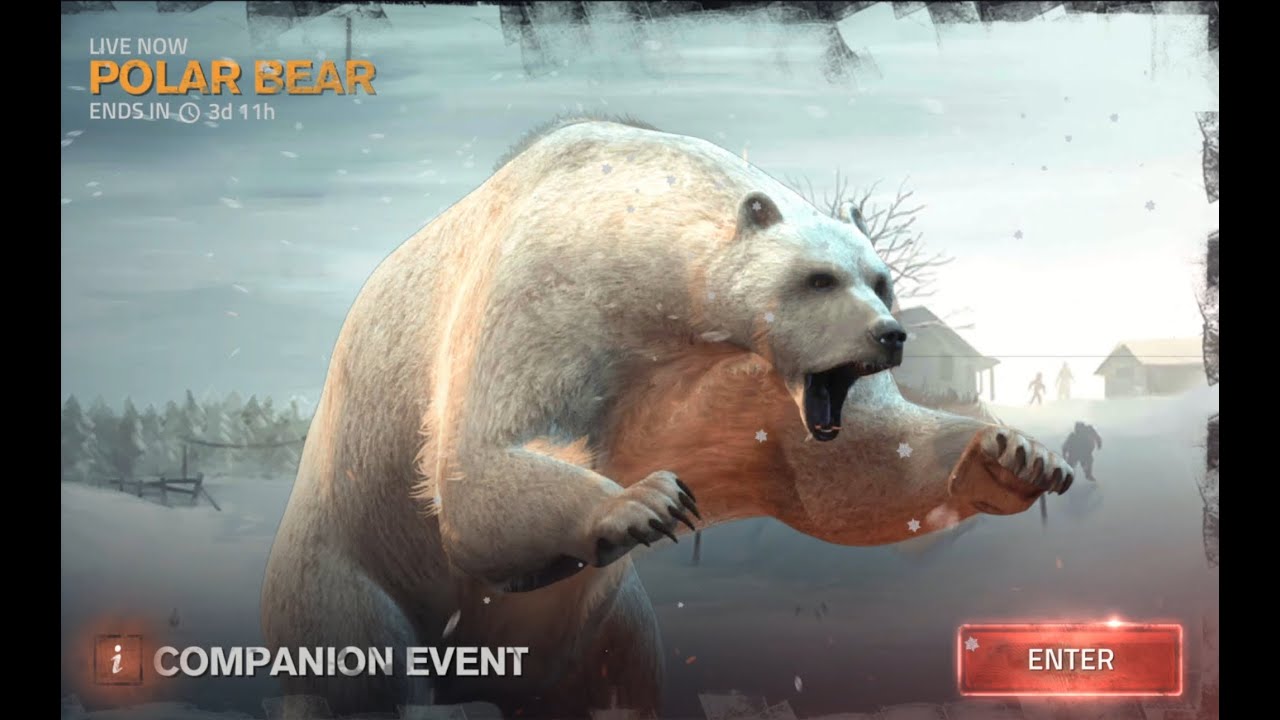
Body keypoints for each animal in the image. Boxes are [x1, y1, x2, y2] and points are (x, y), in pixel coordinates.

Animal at [261, 116, 1069, 717]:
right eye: (818, 278)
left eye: (881, 280)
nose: (890, 336)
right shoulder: (547, 294)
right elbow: (483, 459)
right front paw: (643, 502)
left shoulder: (743, 389)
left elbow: (850, 472)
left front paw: (1015, 457)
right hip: (346, 576)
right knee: (360, 676)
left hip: (601, 630)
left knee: (622, 682)